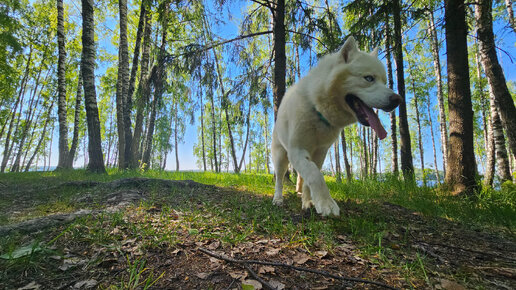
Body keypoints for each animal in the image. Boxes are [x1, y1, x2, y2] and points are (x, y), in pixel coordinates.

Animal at [272, 36, 402, 215]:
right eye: (369, 78)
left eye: (385, 81)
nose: (397, 99)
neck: (317, 109)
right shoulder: (297, 150)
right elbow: (315, 175)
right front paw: (326, 204)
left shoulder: (320, 152)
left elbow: (311, 177)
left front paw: (310, 202)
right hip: (281, 157)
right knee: (279, 179)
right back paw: (277, 199)